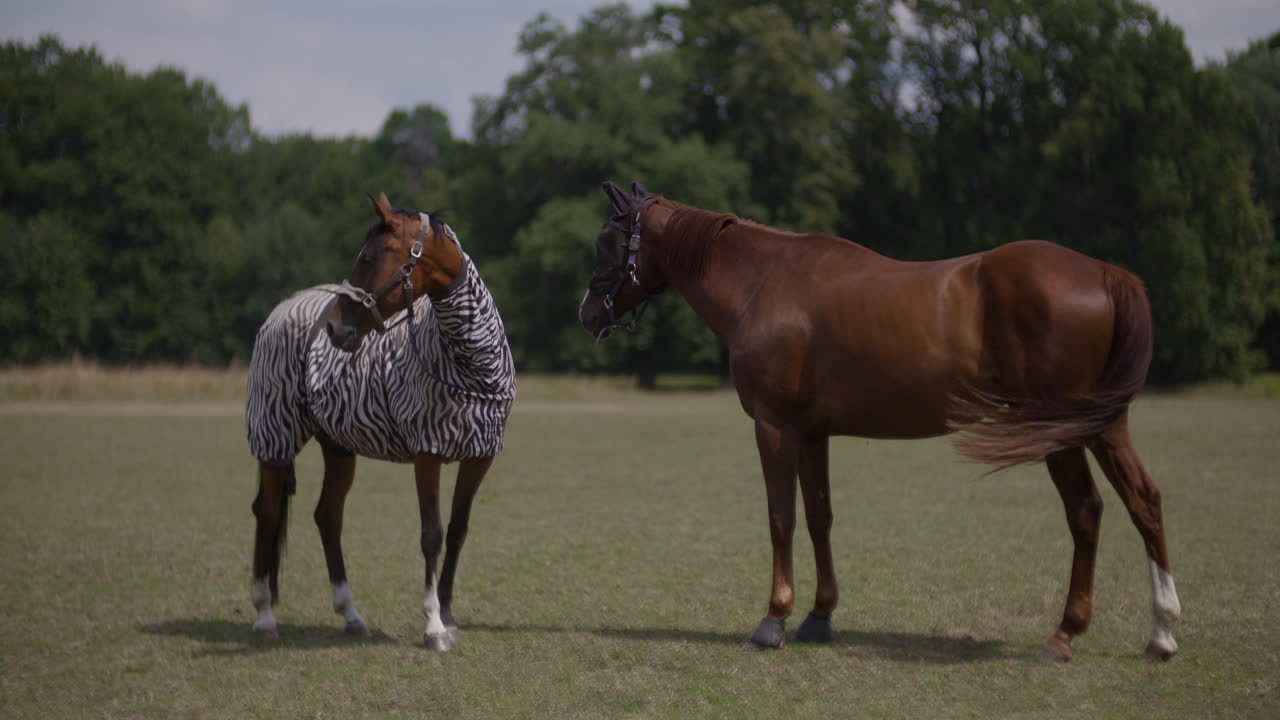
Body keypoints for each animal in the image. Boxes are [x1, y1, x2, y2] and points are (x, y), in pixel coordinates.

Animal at [245, 192, 515, 651]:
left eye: (369, 258)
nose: (335, 327)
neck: (469, 365)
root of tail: (281, 311)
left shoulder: (480, 455)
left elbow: (457, 531)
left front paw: (448, 616)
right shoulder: (428, 453)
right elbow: (431, 534)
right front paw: (433, 626)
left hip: (337, 448)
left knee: (327, 516)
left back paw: (350, 615)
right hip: (275, 438)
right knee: (267, 511)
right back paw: (264, 616)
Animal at [578, 181, 1180, 662]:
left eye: (607, 242)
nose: (586, 313)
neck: (764, 282)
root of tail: (1105, 273)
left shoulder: (773, 426)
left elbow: (780, 518)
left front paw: (772, 620)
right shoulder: (811, 432)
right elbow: (819, 516)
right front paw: (818, 616)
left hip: (1061, 432)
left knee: (1086, 511)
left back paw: (1063, 635)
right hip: (1104, 426)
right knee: (1144, 500)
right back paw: (1162, 634)